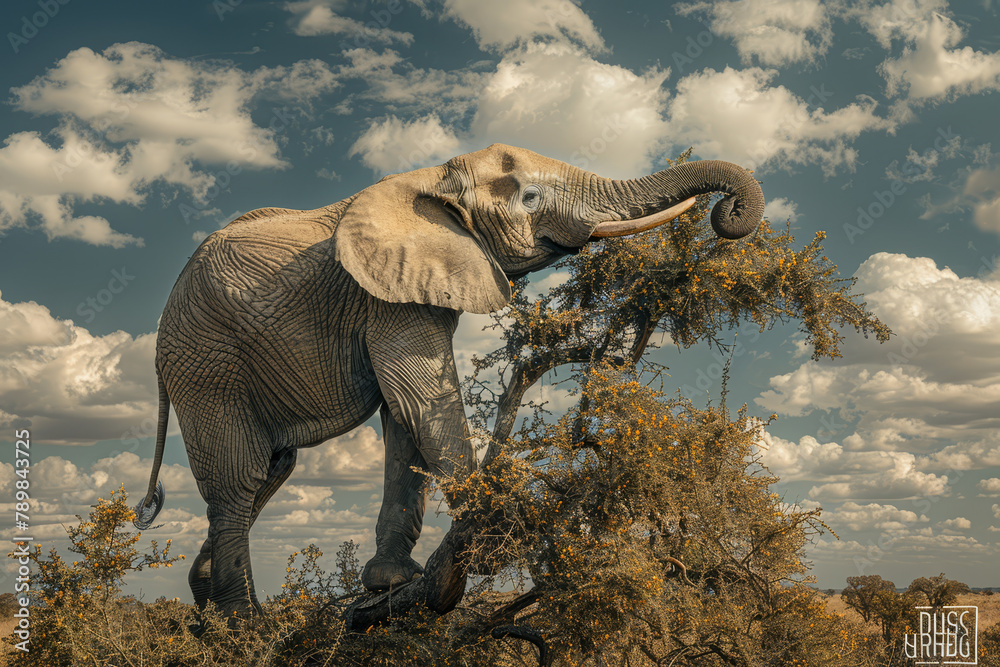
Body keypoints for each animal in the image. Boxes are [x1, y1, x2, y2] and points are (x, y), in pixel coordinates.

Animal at [133, 143, 764, 620]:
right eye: (528, 197)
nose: (726, 209)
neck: (434, 179)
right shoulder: (388, 299)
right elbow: (420, 399)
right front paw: (490, 543)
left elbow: (403, 420)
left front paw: (388, 583)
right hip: (205, 363)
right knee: (238, 478)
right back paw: (245, 629)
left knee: (271, 468)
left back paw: (208, 606)